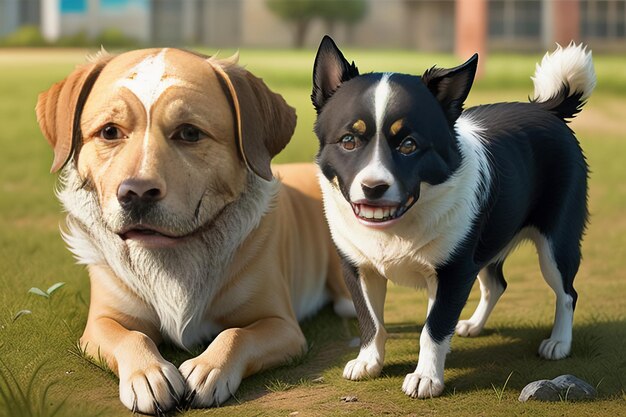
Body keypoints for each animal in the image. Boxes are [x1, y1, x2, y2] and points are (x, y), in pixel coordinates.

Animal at [36, 48, 354, 412]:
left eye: (189, 133)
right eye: (110, 131)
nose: (137, 193)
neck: (173, 257)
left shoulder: (283, 327)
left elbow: (236, 334)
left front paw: (207, 369)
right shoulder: (100, 324)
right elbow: (131, 336)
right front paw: (148, 375)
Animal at [312, 37, 596, 398]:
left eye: (409, 145)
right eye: (349, 141)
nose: (373, 187)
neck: (398, 227)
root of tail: (547, 108)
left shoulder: (453, 272)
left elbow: (432, 328)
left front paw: (426, 378)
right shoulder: (358, 268)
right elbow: (370, 320)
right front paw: (369, 362)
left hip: (555, 245)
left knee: (567, 293)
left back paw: (559, 342)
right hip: (487, 242)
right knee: (496, 284)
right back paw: (474, 325)